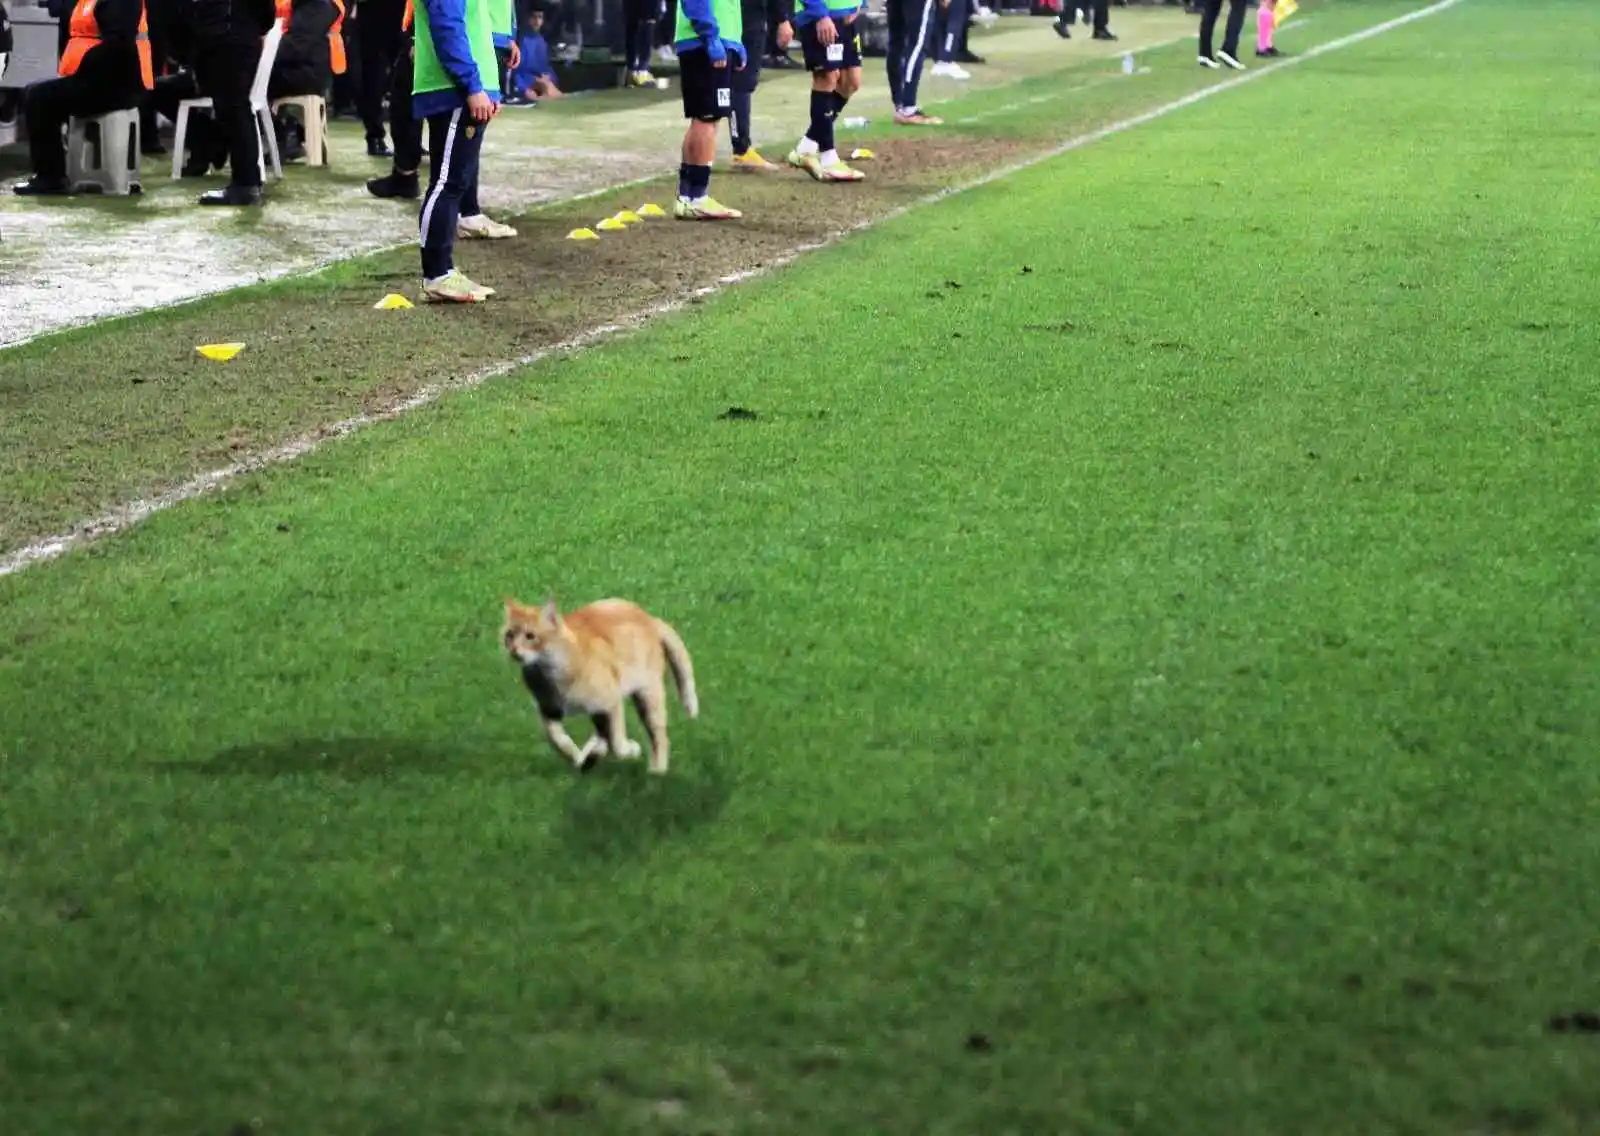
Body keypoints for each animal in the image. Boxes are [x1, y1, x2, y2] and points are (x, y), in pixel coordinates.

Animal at [499, 595, 700, 774]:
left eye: (530, 636)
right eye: (509, 635)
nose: (514, 650)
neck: (549, 675)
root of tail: (649, 618)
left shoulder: (611, 702)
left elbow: (617, 744)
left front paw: (629, 750)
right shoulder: (549, 711)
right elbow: (558, 741)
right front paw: (578, 757)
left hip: (647, 698)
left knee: (659, 738)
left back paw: (656, 772)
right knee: (602, 735)